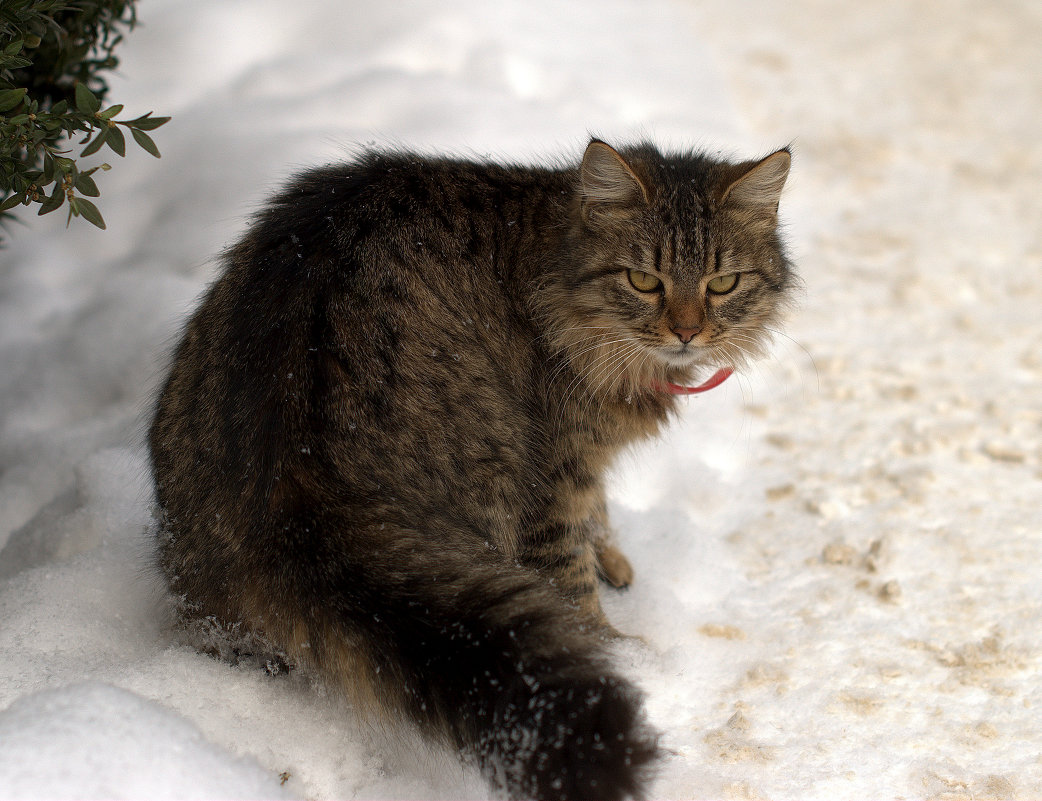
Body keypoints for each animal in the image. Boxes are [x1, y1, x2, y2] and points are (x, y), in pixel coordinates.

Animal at [151, 139, 791, 799]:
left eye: (722, 283)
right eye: (644, 280)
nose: (687, 332)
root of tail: (293, 486)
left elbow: (598, 515)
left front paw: (612, 557)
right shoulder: (554, 472)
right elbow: (572, 576)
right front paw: (622, 650)